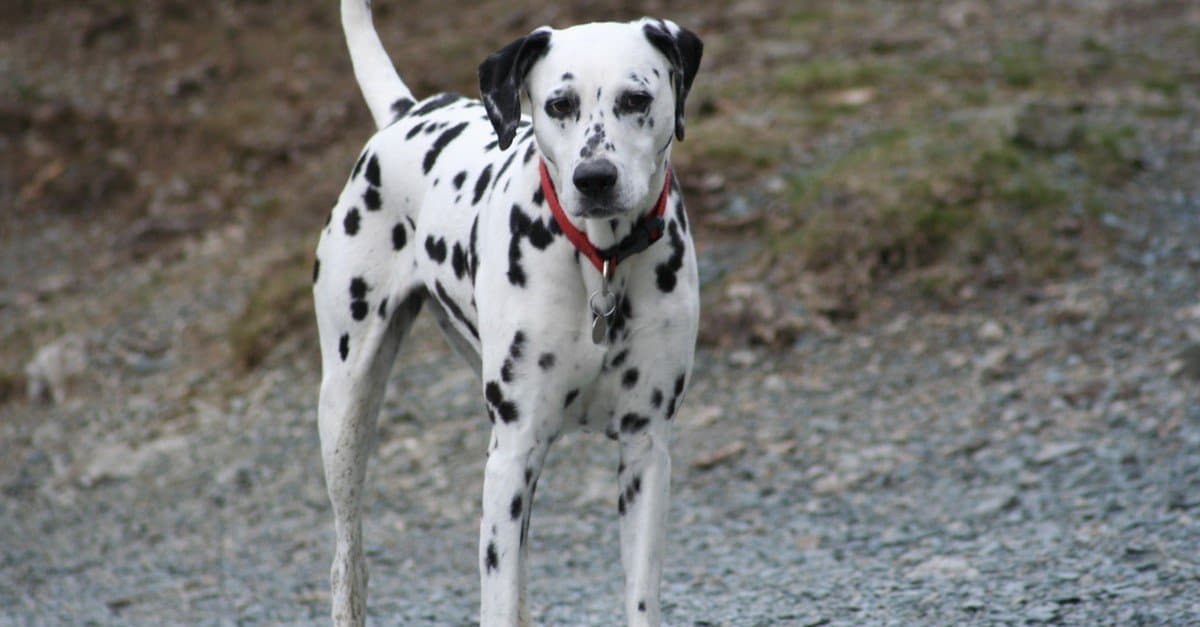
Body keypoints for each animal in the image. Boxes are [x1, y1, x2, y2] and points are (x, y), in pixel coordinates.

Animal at [314, 2, 700, 619]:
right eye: (559, 104)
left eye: (636, 98)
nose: (595, 178)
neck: (600, 260)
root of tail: (406, 112)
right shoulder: (511, 455)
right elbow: (496, 595)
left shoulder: (646, 451)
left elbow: (639, 598)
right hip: (347, 411)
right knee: (348, 561)